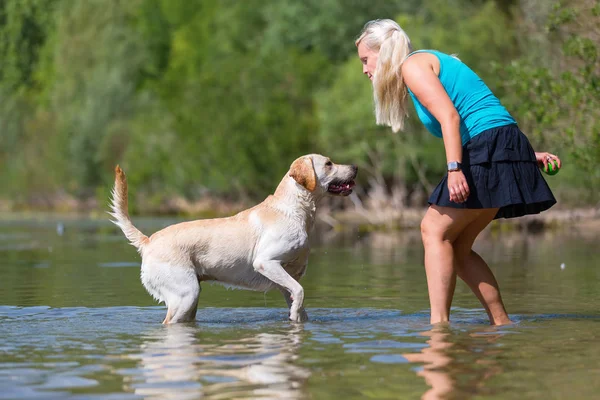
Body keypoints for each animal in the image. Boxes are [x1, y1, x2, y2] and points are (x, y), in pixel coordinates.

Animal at [108, 155, 356, 324]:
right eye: (329, 163)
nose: (355, 167)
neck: (293, 210)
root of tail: (148, 241)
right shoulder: (266, 262)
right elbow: (301, 291)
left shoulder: (287, 278)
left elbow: (298, 299)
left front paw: (296, 317)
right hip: (185, 295)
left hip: (190, 301)